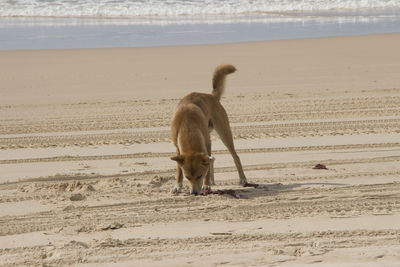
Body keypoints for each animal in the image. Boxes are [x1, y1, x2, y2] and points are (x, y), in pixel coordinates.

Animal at [171, 64, 247, 196]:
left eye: (199, 176)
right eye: (187, 177)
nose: (194, 193)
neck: (187, 125)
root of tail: (212, 96)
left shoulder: (205, 143)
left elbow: (207, 167)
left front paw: (206, 185)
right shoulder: (177, 148)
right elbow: (179, 170)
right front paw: (178, 186)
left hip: (223, 133)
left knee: (235, 157)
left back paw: (242, 179)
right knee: (212, 161)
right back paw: (212, 181)